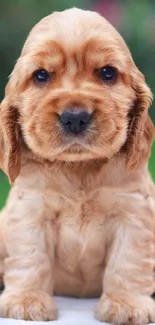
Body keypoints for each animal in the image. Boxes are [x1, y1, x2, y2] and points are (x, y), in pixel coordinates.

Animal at [0, 7, 155, 324]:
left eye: (107, 72)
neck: (78, 167)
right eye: (41, 75)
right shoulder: (31, 210)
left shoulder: (133, 212)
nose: (75, 117)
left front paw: (126, 304)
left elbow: (129, 260)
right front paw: (27, 301)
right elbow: (30, 256)